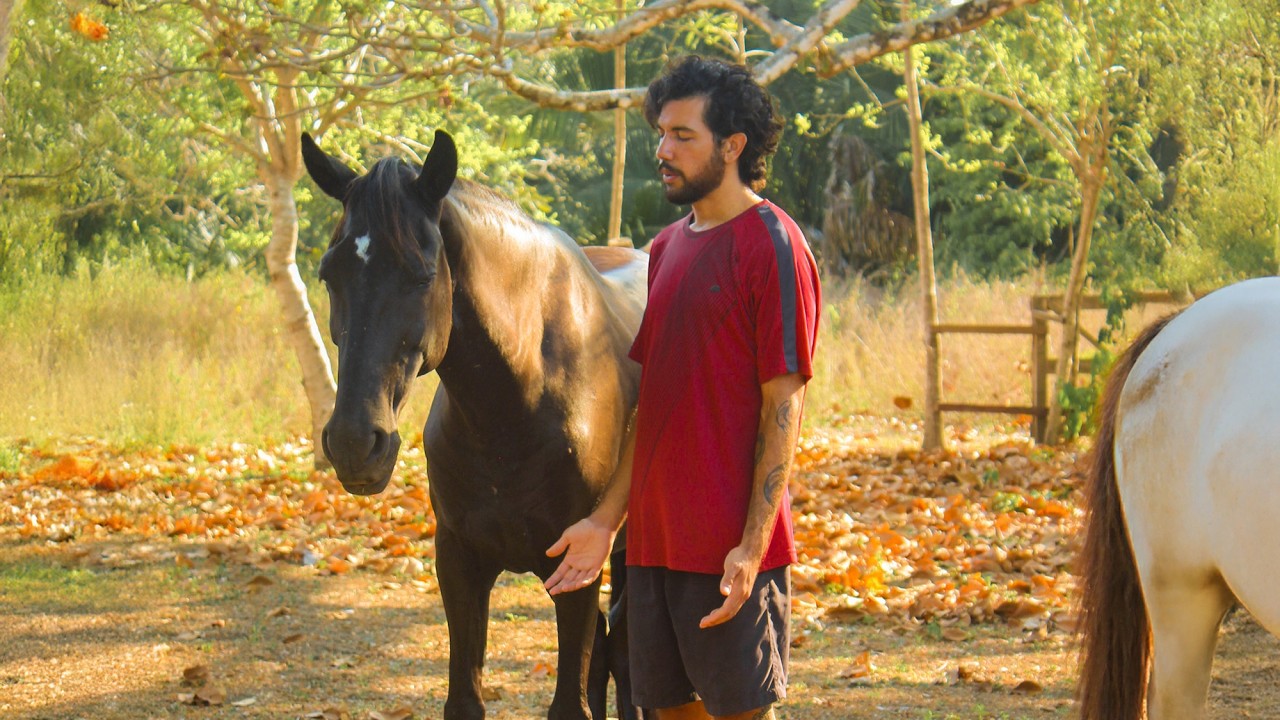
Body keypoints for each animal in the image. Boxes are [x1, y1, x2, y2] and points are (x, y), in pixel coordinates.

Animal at [300, 129, 648, 720]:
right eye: (329, 274)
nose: (354, 444)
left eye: (421, 274)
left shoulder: (577, 571)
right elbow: (465, 699)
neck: (512, 409)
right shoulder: (459, 564)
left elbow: (570, 702)